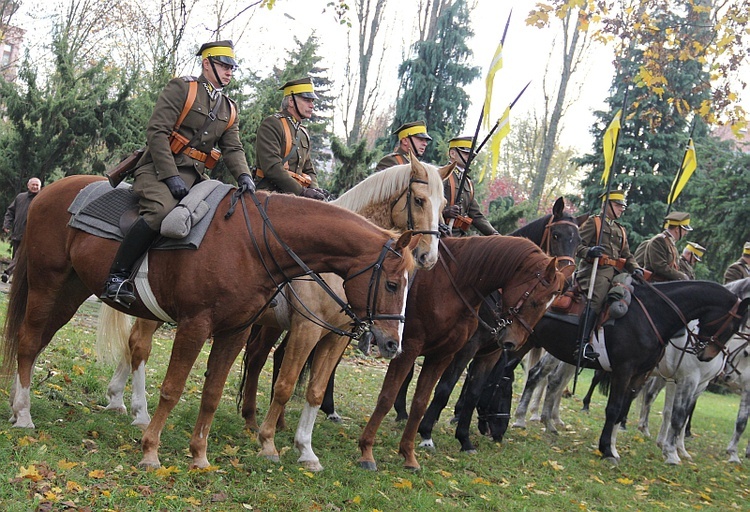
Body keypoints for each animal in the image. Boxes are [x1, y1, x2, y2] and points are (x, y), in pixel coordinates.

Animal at [1, 175, 418, 468]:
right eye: (392, 283)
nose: (392, 343)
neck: (253, 243)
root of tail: (50, 192)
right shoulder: (197, 326)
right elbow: (174, 387)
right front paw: (151, 450)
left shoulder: (236, 332)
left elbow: (214, 392)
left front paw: (199, 455)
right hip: (47, 284)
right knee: (30, 342)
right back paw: (25, 414)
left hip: (70, 292)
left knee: (36, 341)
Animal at [99, 160, 452, 428]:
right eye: (420, 200)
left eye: (444, 206)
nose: (429, 256)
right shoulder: (306, 327)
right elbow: (288, 375)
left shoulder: (333, 334)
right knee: (139, 343)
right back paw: (136, 407)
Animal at [356, 236, 568, 468]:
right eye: (535, 302)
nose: (513, 342)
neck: (453, 286)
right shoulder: (420, 347)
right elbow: (426, 391)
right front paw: (423, 434)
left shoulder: (465, 354)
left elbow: (461, 394)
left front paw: (462, 440)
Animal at [506, 280, 750, 464]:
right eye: (733, 326)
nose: (706, 354)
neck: (653, 316)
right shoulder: (633, 372)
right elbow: (622, 410)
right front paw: (609, 449)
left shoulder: (642, 376)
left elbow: (626, 409)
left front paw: (615, 448)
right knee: (536, 376)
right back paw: (522, 418)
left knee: (551, 381)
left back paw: (547, 421)